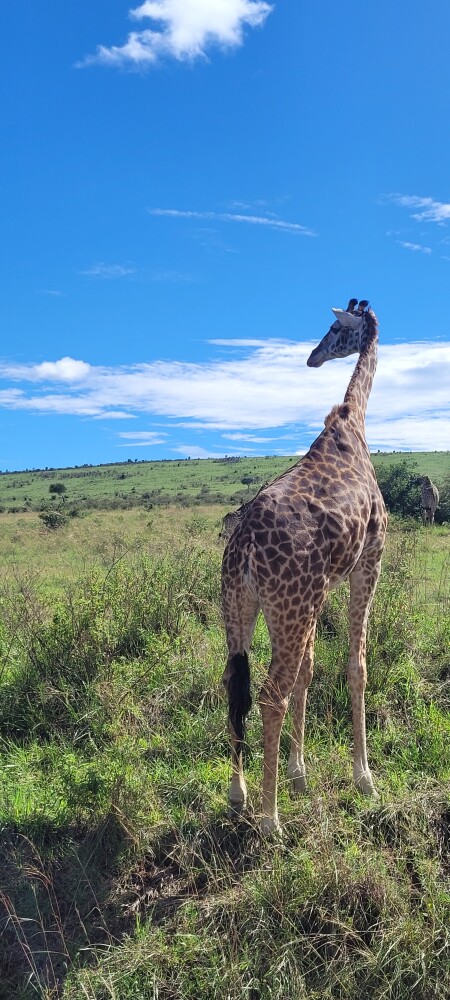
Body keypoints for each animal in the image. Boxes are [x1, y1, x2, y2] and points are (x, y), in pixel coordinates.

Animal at [221, 298, 387, 835]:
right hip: (288, 609)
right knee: (269, 693)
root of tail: (244, 549)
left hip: (240, 608)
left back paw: (239, 795)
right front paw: (364, 779)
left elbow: (310, 672)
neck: (354, 422)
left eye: (334, 329)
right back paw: (270, 820)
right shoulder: (369, 562)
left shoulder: (322, 589)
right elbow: (356, 667)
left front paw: (299, 774)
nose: (313, 357)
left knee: (234, 685)